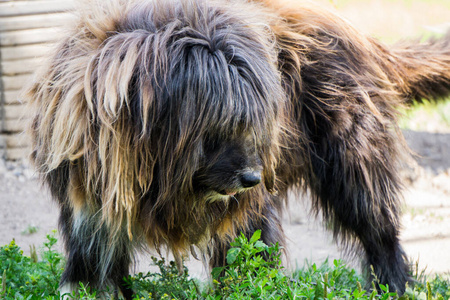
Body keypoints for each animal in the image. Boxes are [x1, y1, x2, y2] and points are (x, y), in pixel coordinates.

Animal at [25, 0, 450, 296]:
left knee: (379, 232)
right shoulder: (91, 208)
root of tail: (363, 40)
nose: (252, 178)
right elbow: (95, 271)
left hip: (354, 163)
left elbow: (248, 258)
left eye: (251, 124)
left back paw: (390, 288)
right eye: (216, 129)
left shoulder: (248, 212)